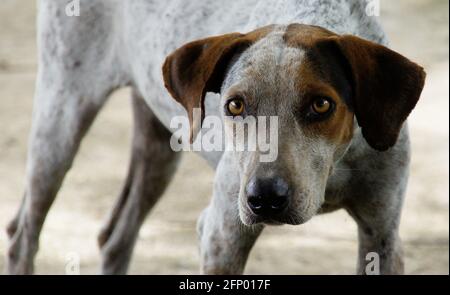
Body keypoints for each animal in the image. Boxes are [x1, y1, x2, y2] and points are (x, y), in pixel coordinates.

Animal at [6, 0, 426, 276]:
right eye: (235, 105)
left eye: (321, 104)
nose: (264, 199)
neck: (335, 168)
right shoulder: (222, 236)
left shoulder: (381, 235)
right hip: (58, 128)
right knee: (23, 239)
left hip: (159, 152)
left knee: (115, 240)